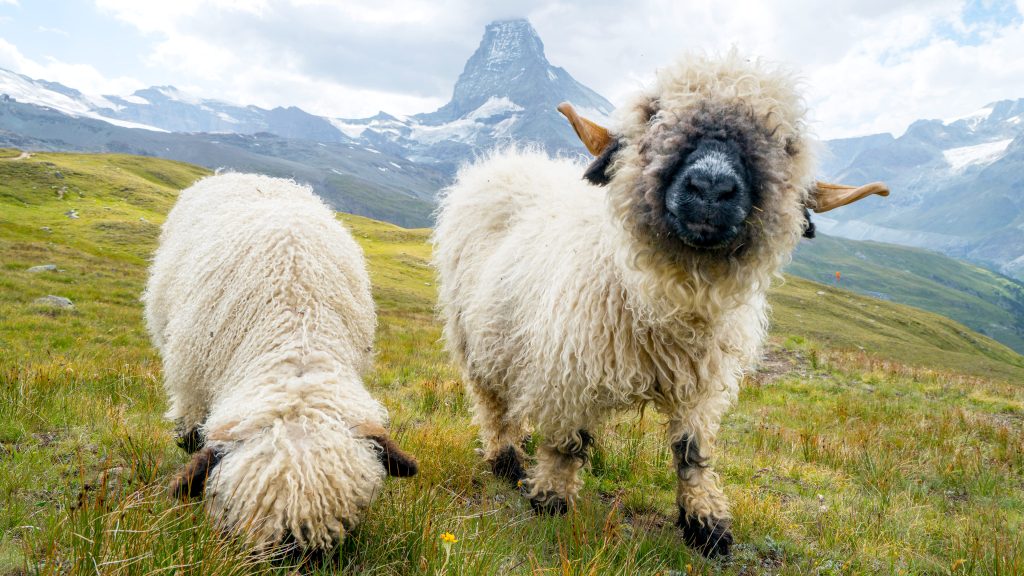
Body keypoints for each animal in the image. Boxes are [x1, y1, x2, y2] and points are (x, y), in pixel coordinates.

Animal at [432, 51, 887, 557]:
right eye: (654, 115)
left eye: (786, 144)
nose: (710, 187)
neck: (669, 299)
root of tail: (506, 160)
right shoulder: (570, 370)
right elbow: (567, 444)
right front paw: (551, 500)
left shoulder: (701, 384)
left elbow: (691, 451)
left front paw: (706, 523)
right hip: (472, 334)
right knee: (490, 402)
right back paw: (505, 458)